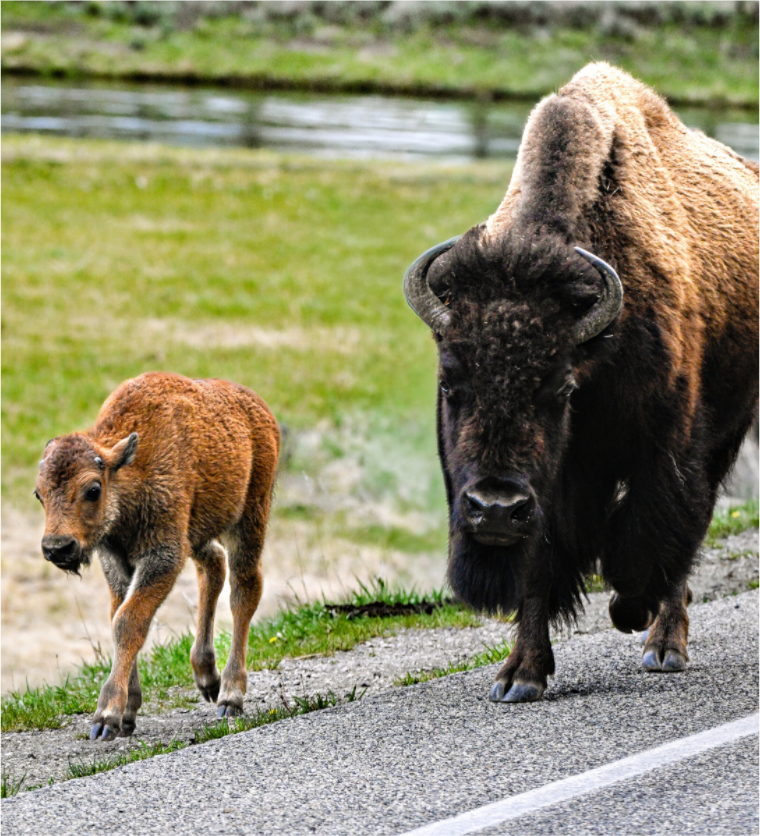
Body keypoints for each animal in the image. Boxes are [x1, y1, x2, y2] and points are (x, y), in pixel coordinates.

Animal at [404, 62, 760, 702]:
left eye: (561, 388)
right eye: (450, 383)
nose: (495, 509)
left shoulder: (666, 445)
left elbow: (651, 535)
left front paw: (628, 611)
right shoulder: (550, 491)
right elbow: (538, 569)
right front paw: (519, 676)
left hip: (728, 429)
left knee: (685, 538)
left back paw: (663, 644)